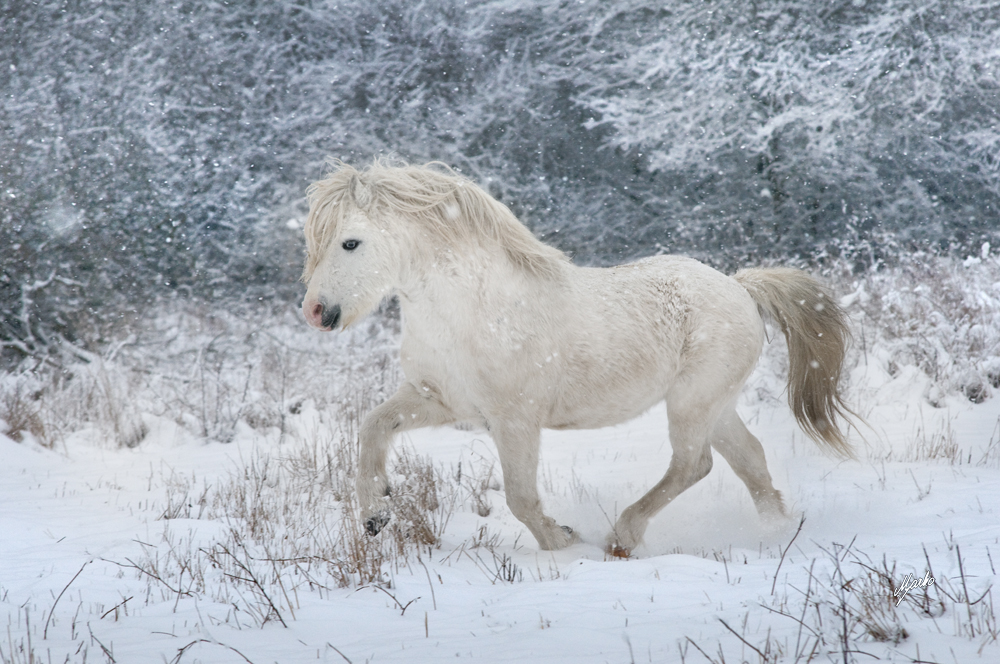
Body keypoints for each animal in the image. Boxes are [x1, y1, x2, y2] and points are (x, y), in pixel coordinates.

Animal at [300, 160, 856, 556]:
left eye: (350, 242)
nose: (316, 312)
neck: (473, 311)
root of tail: (740, 287)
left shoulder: (516, 420)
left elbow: (520, 497)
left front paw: (563, 542)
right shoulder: (438, 400)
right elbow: (372, 426)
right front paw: (375, 514)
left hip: (693, 403)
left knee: (693, 465)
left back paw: (621, 537)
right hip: (716, 406)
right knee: (750, 461)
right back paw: (776, 534)